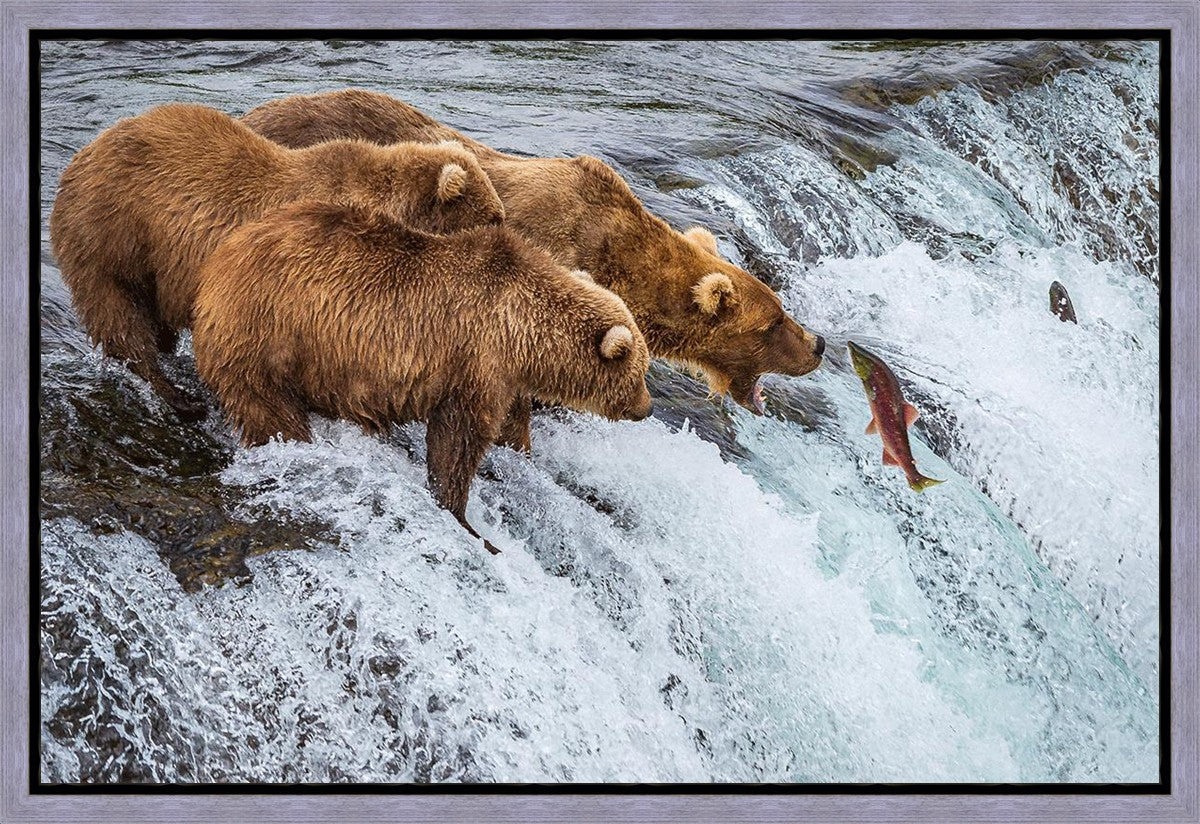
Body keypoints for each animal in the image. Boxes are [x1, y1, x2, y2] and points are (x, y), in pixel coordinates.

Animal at [49, 102, 505, 421]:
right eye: (494, 216)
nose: (506, 231)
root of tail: (81, 155)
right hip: (112, 235)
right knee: (120, 316)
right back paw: (178, 396)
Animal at [192, 199, 653, 554]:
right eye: (640, 372)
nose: (647, 408)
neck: (523, 331)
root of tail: (217, 263)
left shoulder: (505, 378)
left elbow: (510, 426)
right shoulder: (475, 360)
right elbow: (457, 440)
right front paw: (467, 521)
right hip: (267, 334)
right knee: (269, 409)